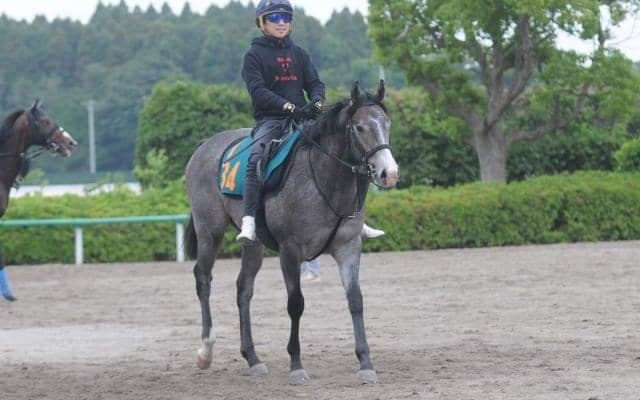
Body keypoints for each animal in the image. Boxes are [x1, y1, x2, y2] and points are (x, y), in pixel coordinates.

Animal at [184, 80, 398, 384]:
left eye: (386, 123)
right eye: (359, 127)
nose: (389, 173)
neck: (323, 178)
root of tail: (205, 145)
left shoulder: (348, 247)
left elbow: (355, 300)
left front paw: (366, 363)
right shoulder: (290, 251)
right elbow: (295, 303)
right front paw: (296, 365)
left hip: (253, 245)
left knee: (243, 289)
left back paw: (253, 358)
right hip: (209, 232)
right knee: (203, 280)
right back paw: (206, 350)